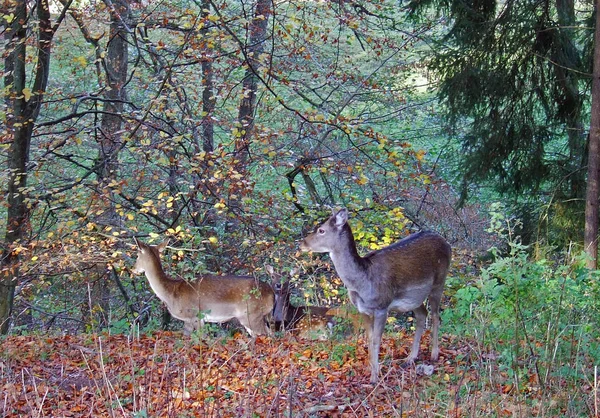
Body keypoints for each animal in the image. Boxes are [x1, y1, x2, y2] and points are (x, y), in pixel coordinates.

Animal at [132, 237, 276, 338]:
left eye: (137, 255)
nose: (133, 269)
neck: (171, 292)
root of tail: (272, 294)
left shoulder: (195, 314)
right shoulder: (189, 320)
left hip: (251, 314)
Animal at [300, 208, 450, 382]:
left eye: (321, 230)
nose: (302, 243)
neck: (362, 283)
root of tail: (447, 243)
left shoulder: (382, 307)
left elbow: (377, 340)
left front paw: (375, 377)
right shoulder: (363, 310)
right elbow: (369, 339)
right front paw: (371, 372)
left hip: (439, 282)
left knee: (436, 315)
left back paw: (434, 354)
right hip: (414, 298)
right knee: (422, 314)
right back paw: (411, 357)